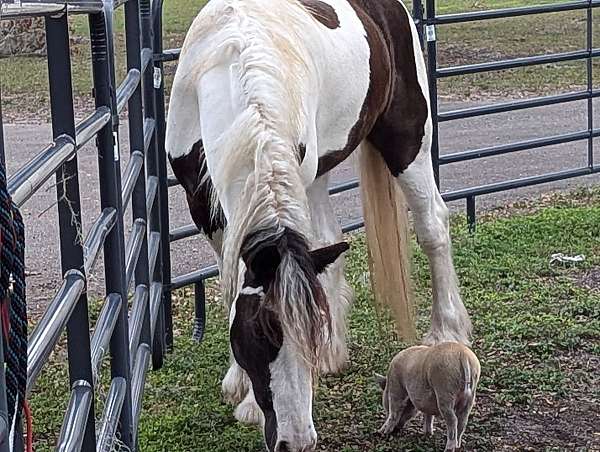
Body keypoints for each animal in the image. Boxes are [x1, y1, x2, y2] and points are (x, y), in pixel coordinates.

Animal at [166, 0, 472, 452]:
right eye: (260, 335)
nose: (296, 441)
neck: (234, 69)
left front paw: (251, 404)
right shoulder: (203, 204)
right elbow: (231, 281)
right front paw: (239, 383)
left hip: (407, 137)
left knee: (432, 224)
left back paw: (446, 332)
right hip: (319, 172)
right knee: (331, 242)